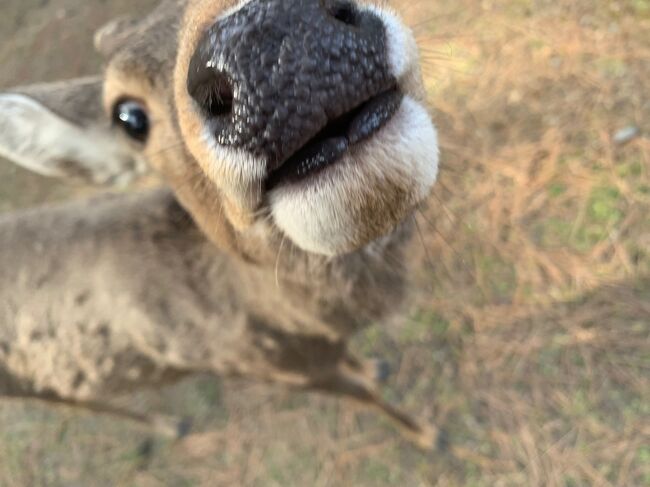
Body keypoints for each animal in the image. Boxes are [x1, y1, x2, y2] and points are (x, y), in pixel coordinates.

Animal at [0, 0, 440, 450]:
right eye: (128, 117)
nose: (268, 39)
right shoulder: (283, 368)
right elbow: (365, 396)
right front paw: (426, 434)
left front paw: (372, 365)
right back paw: (169, 426)